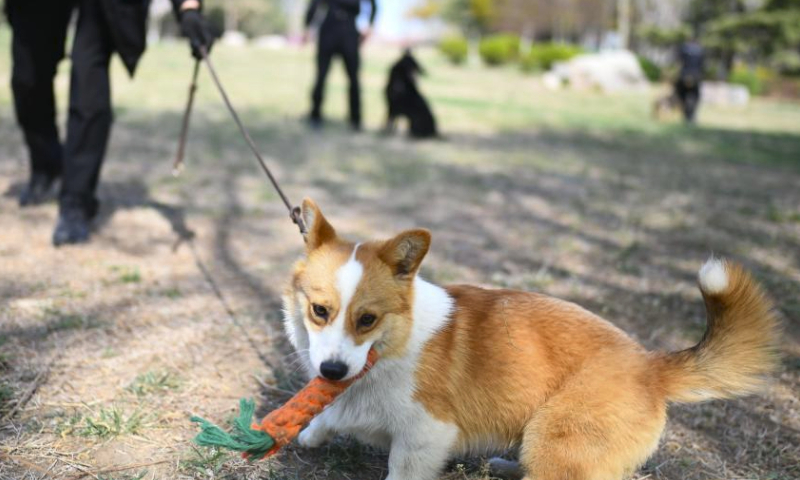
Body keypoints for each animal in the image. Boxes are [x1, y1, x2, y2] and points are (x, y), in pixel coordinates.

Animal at [282, 198, 780, 480]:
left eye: (367, 319)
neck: (391, 348)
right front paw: (309, 433)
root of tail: (651, 365)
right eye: (320, 311)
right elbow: (324, 417)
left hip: (556, 442)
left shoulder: (424, 437)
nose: (332, 371)